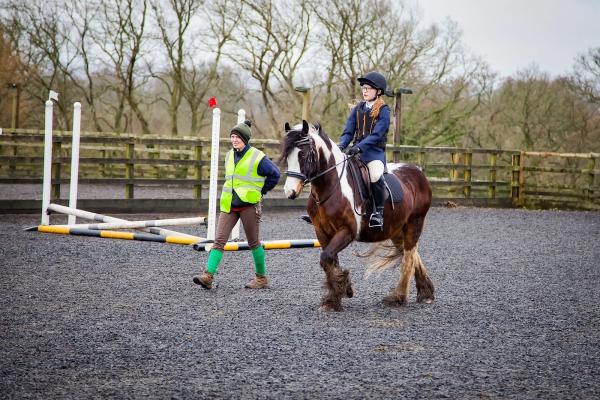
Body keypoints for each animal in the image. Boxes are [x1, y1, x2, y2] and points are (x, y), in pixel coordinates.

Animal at [278, 120, 434, 310]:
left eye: (303, 155)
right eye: (287, 157)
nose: (290, 192)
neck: (330, 187)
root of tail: (418, 172)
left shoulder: (347, 231)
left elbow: (326, 258)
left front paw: (337, 293)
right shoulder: (322, 232)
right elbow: (329, 261)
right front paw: (339, 292)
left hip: (414, 222)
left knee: (409, 257)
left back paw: (398, 297)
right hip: (396, 229)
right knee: (411, 254)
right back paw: (426, 292)